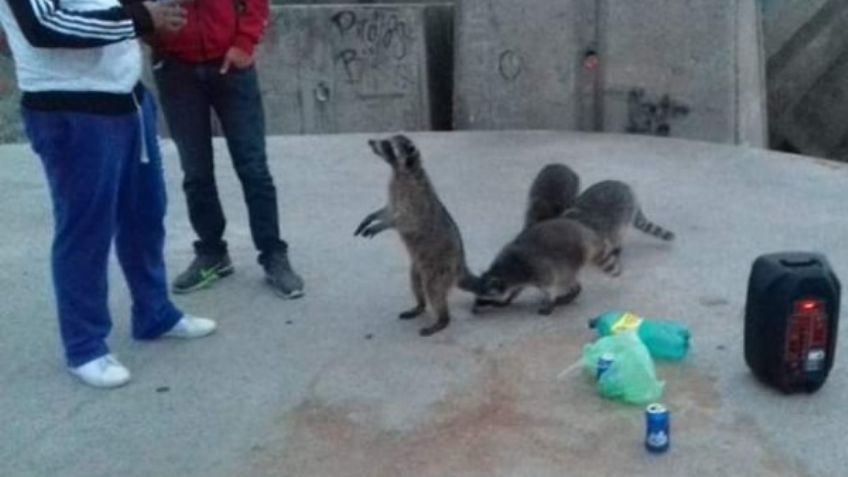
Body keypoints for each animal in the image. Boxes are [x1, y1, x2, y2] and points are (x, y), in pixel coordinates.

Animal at [354, 133, 480, 334]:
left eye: (387, 145)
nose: (370, 141)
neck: (402, 171)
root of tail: (460, 266)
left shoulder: (415, 199)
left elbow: (405, 221)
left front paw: (383, 224)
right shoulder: (395, 192)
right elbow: (389, 209)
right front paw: (372, 216)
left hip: (441, 267)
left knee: (433, 289)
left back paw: (442, 319)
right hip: (418, 266)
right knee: (416, 282)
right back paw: (420, 305)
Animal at [470, 217, 616, 314]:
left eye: (482, 298)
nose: (474, 308)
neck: (503, 271)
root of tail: (588, 234)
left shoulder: (537, 269)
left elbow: (550, 285)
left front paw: (550, 300)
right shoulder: (519, 278)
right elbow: (516, 289)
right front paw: (508, 299)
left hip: (572, 257)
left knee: (567, 279)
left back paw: (571, 293)